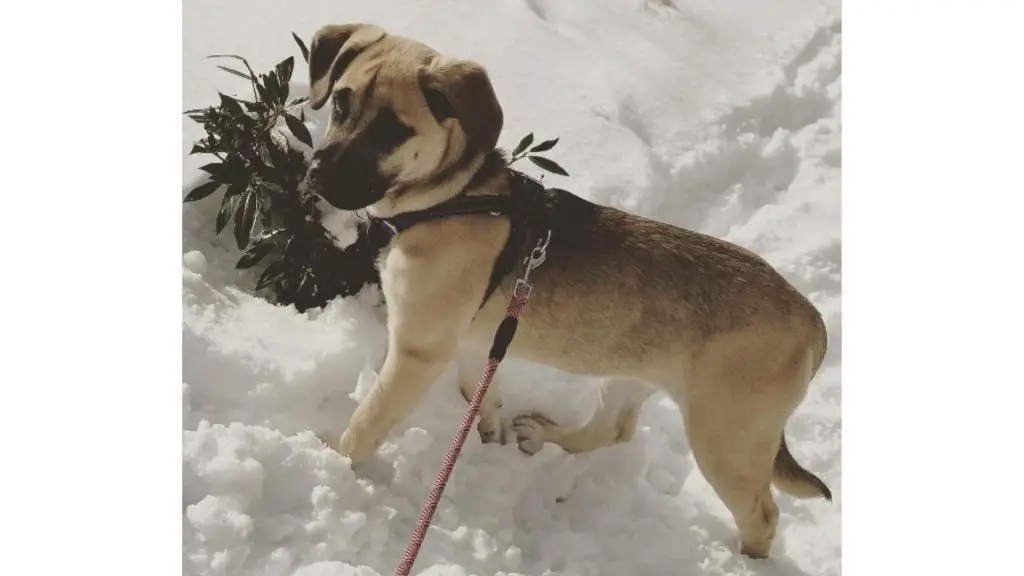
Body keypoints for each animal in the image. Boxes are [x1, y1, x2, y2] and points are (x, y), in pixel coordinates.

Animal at [303, 24, 831, 557]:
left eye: (392, 130)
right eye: (341, 103)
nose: (317, 174)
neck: (455, 199)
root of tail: (812, 321)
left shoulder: (417, 352)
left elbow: (368, 422)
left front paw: (338, 462)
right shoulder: (472, 340)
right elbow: (479, 390)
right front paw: (488, 429)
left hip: (725, 436)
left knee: (762, 514)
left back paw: (744, 560)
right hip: (627, 374)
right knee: (614, 428)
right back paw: (548, 438)